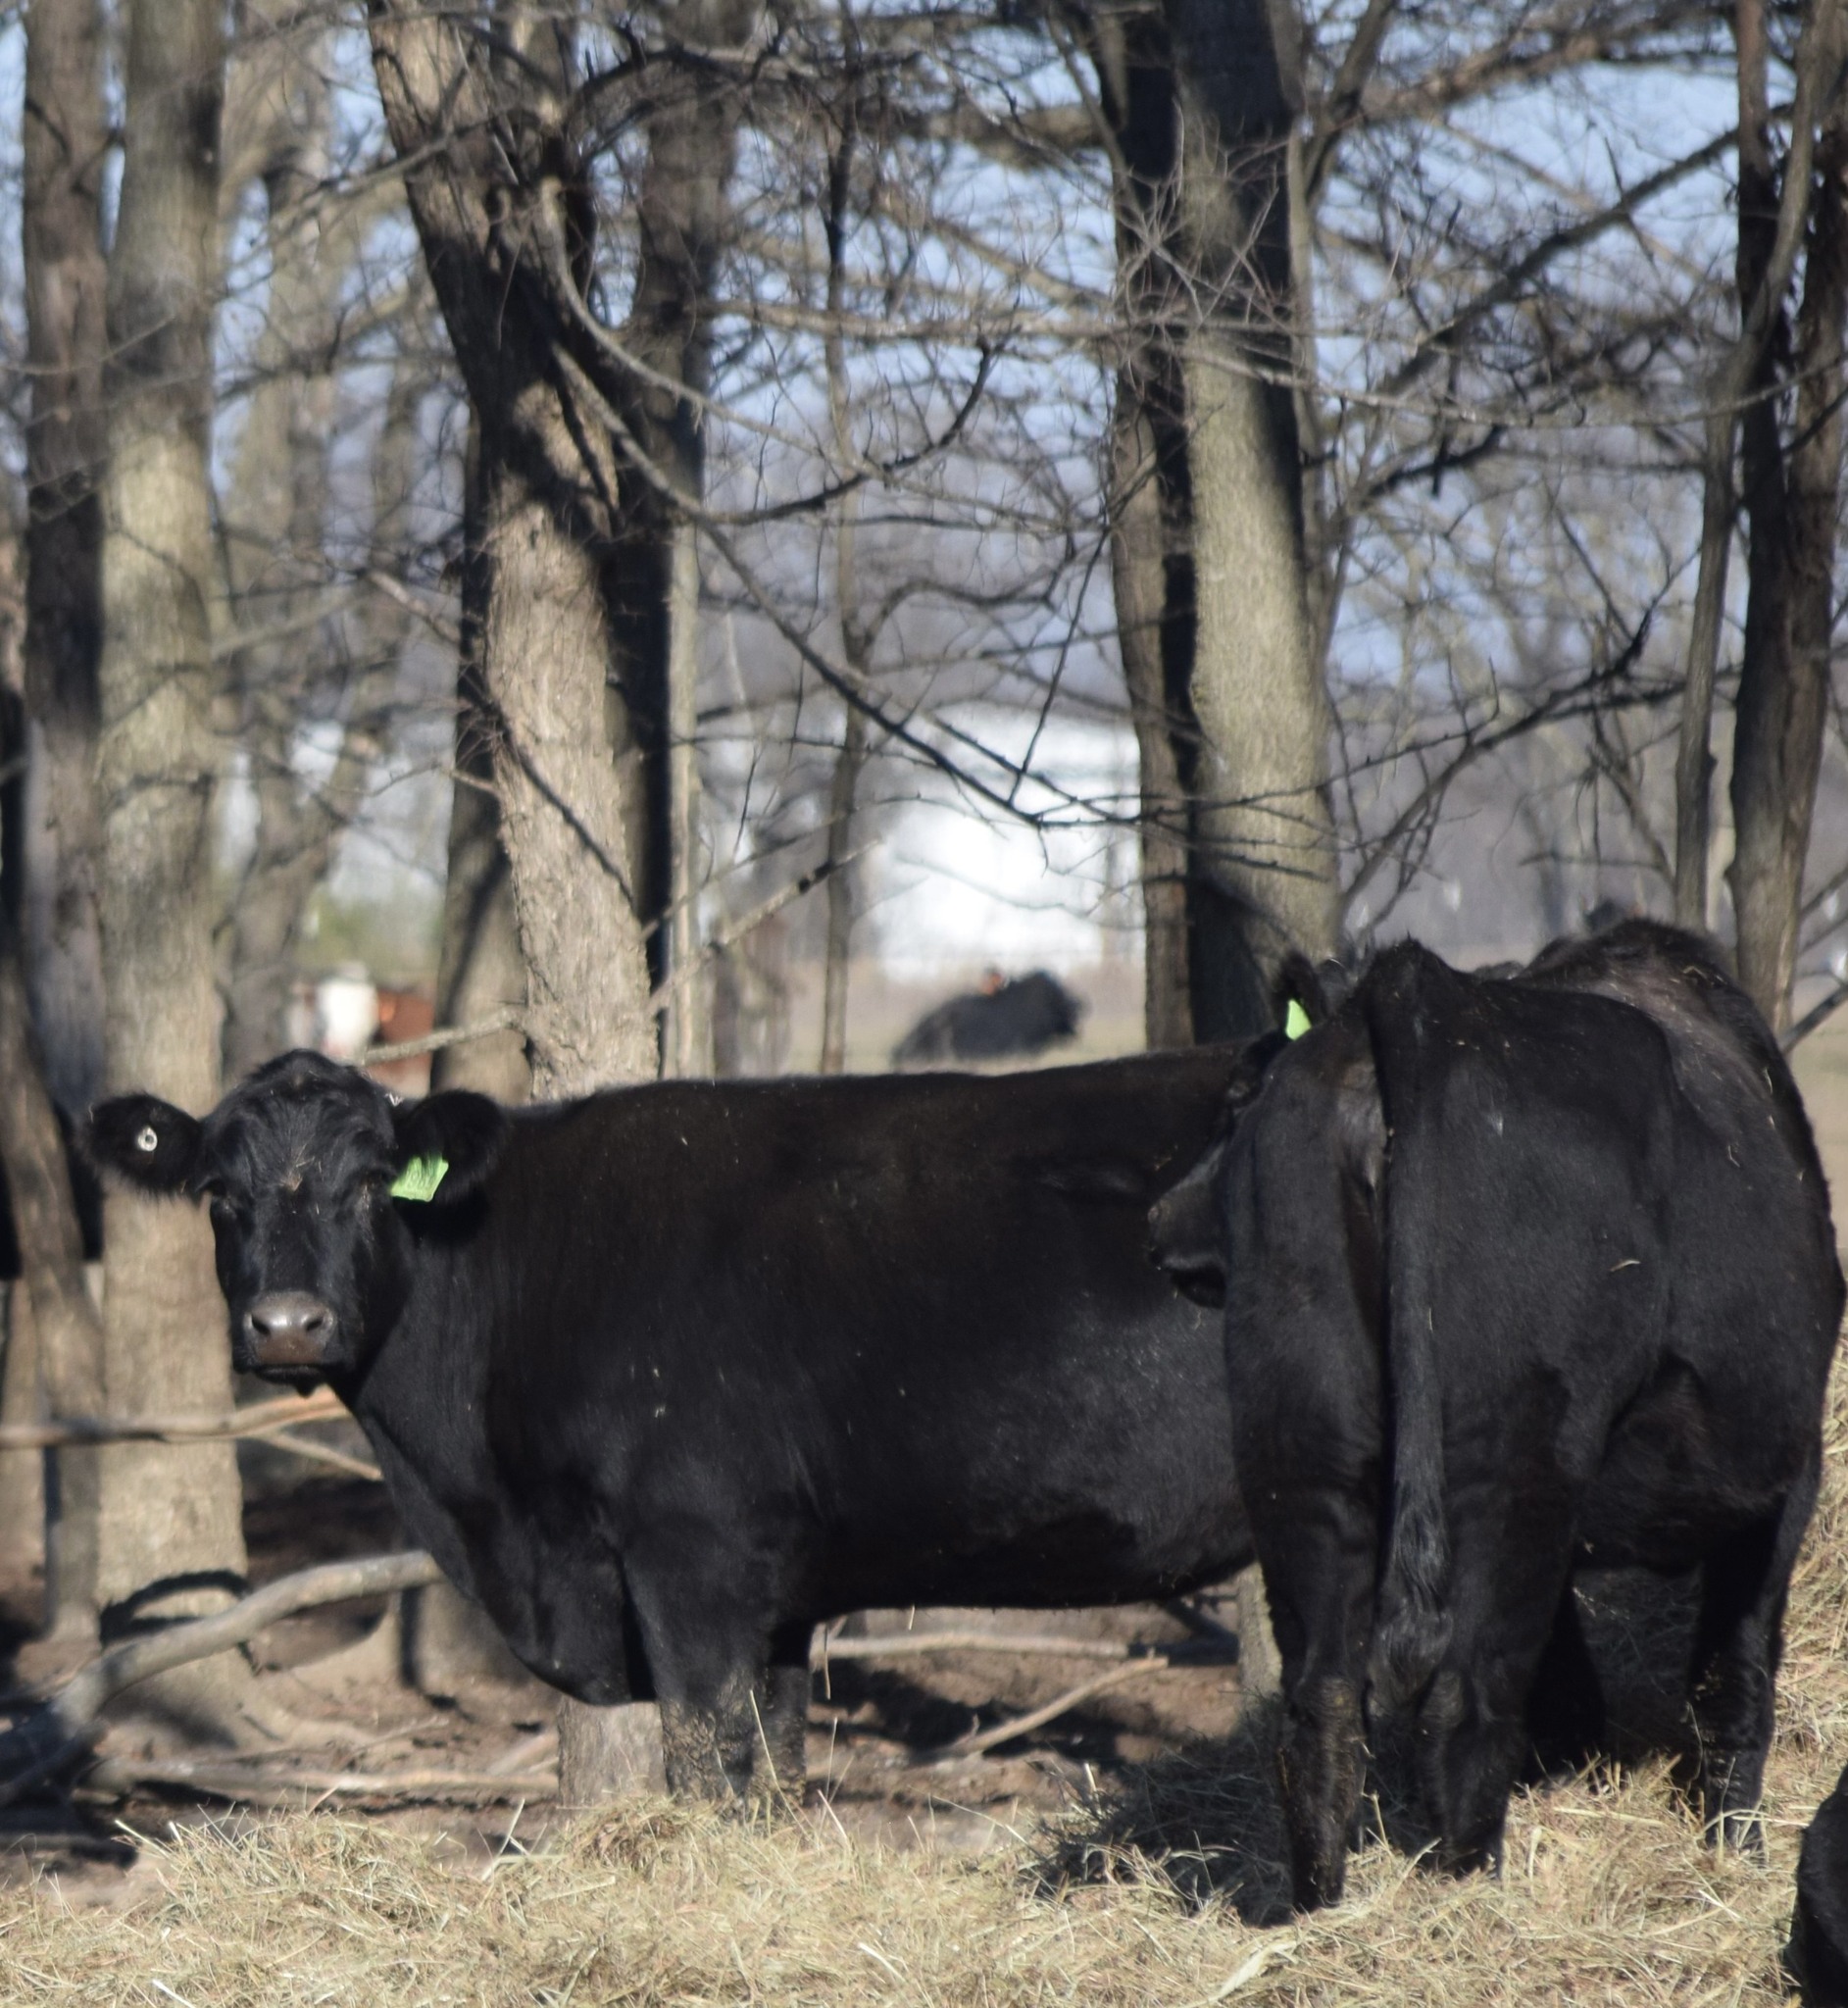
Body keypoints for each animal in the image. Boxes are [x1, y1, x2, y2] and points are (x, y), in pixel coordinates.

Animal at [88, 1044, 1263, 1799]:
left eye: (376, 1183)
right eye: (217, 1193)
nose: (288, 1324)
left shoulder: (692, 1550)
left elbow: (704, 1764)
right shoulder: (779, 1592)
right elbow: (772, 1770)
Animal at [1149, 921, 1843, 1911]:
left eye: (1237, 1101)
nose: (1158, 1223)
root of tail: (1422, 989)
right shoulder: (1785, 1474)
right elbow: (1731, 1672)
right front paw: (1731, 1851)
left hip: (1299, 1447)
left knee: (1320, 1706)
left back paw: (1318, 1916)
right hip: (1518, 1457)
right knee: (1466, 1701)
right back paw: (1468, 1896)